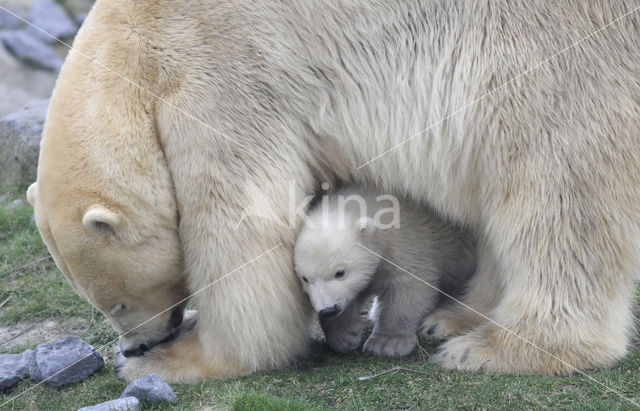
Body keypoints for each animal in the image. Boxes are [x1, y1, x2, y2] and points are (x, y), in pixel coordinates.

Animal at [26, 0, 640, 382]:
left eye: (117, 301)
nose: (136, 344)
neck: (136, 46)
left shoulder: (222, 77)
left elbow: (239, 228)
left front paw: (181, 359)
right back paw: (457, 317)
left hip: (552, 50)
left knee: (559, 180)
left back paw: (501, 346)